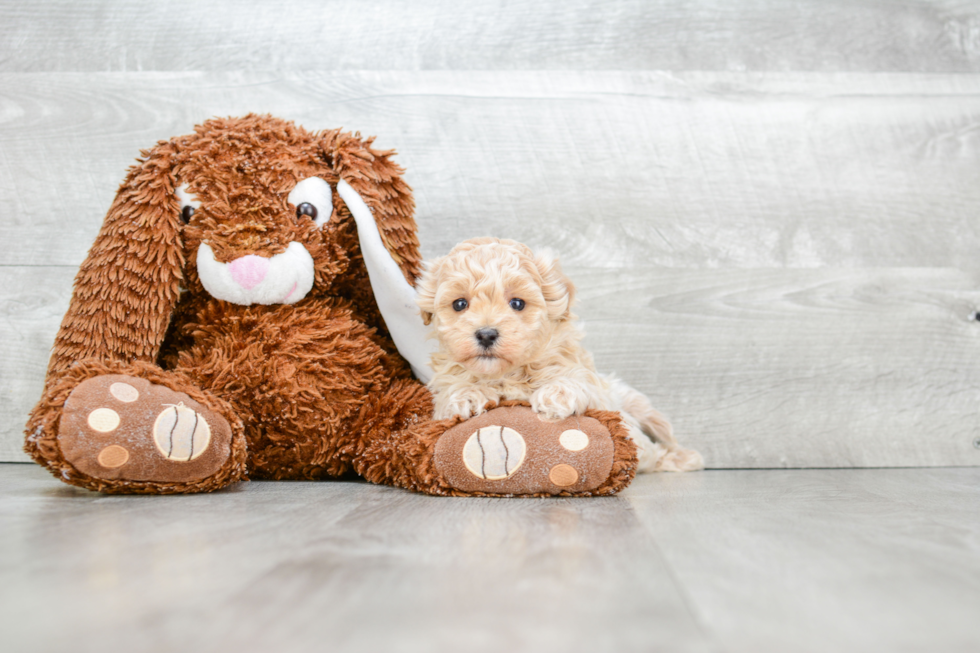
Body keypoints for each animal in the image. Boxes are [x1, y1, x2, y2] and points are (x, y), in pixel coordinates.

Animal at [418, 237, 700, 472]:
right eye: (459, 304)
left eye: (517, 303)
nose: (486, 334)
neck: (507, 374)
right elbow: (453, 389)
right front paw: (466, 395)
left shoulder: (598, 395)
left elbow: (575, 380)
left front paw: (557, 394)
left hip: (641, 408)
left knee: (662, 441)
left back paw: (684, 458)